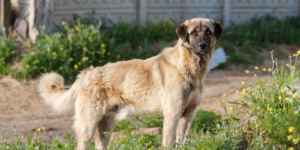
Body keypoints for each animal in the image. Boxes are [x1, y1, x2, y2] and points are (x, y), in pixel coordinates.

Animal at [38, 17, 223, 149]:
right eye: (193, 33)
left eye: (208, 32)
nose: (203, 45)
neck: (189, 67)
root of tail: (87, 72)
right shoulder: (172, 114)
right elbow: (169, 143)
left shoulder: (188, 115)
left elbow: (182, 141)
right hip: (88, 125)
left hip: (105, 128)